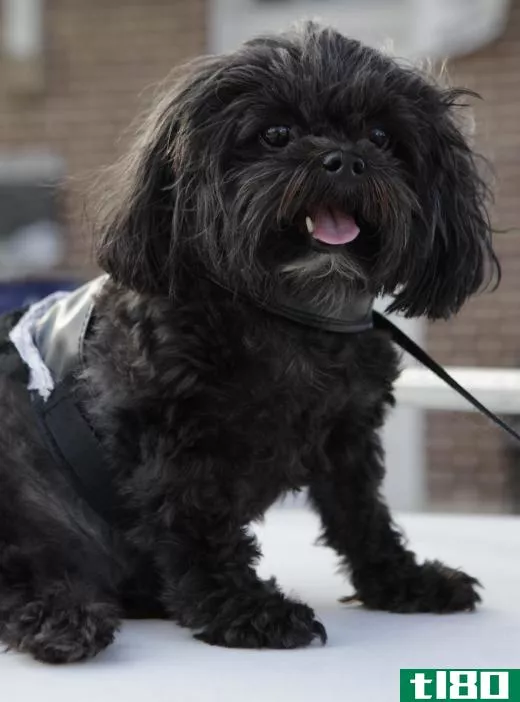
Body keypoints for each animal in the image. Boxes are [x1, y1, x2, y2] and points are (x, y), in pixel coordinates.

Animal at [0, 20, 500, 660]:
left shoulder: (348, 437)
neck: (291, 313)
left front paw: (402, 582)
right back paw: (59, 616)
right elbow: (198, 525)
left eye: (382, 137)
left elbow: (362, 516)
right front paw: (245, 609)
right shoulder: (174, 435)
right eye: (276, 133)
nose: (345, 160)